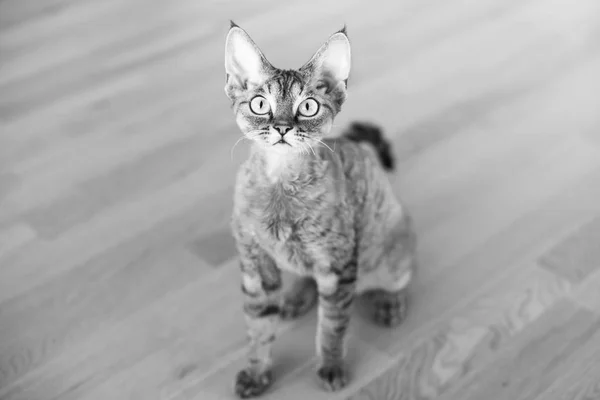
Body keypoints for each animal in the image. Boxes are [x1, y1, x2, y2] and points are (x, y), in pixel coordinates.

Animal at [223, 21, 414, 396]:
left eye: (308, 107)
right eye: (259, 104)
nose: (282, 127)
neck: (280, 185)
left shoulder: (338, 266)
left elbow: (331, 327)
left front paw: (331, 366)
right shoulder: (254, 264)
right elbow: (258, 329)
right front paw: (257, 372)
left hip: (385, 251)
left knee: (400, 274)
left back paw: (389, 301)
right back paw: (296, 296)